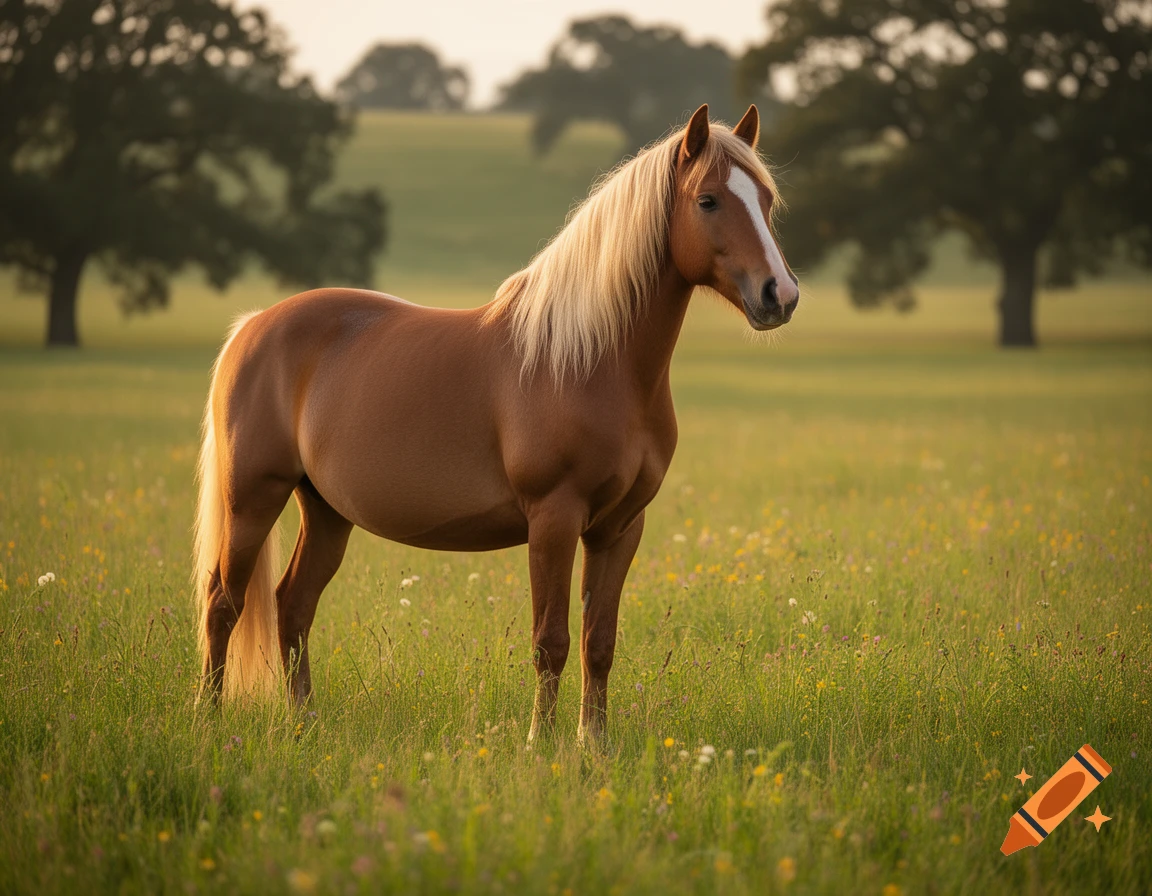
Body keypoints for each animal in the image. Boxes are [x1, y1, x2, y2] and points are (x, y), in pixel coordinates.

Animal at [192, 103, 799, 744]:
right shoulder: (554, 519)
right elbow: (551, 641)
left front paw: (594, 745)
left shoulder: (620, 527)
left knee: (292, 604)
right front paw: (541, 743)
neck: (590, 360)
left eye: (765, 198)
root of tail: (255, 325)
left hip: (327, 511)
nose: (779, 295)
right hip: (253, 499)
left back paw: (304, 722)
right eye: (708, 200)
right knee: (223, 602)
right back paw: (207, 719)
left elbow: (599, 642)